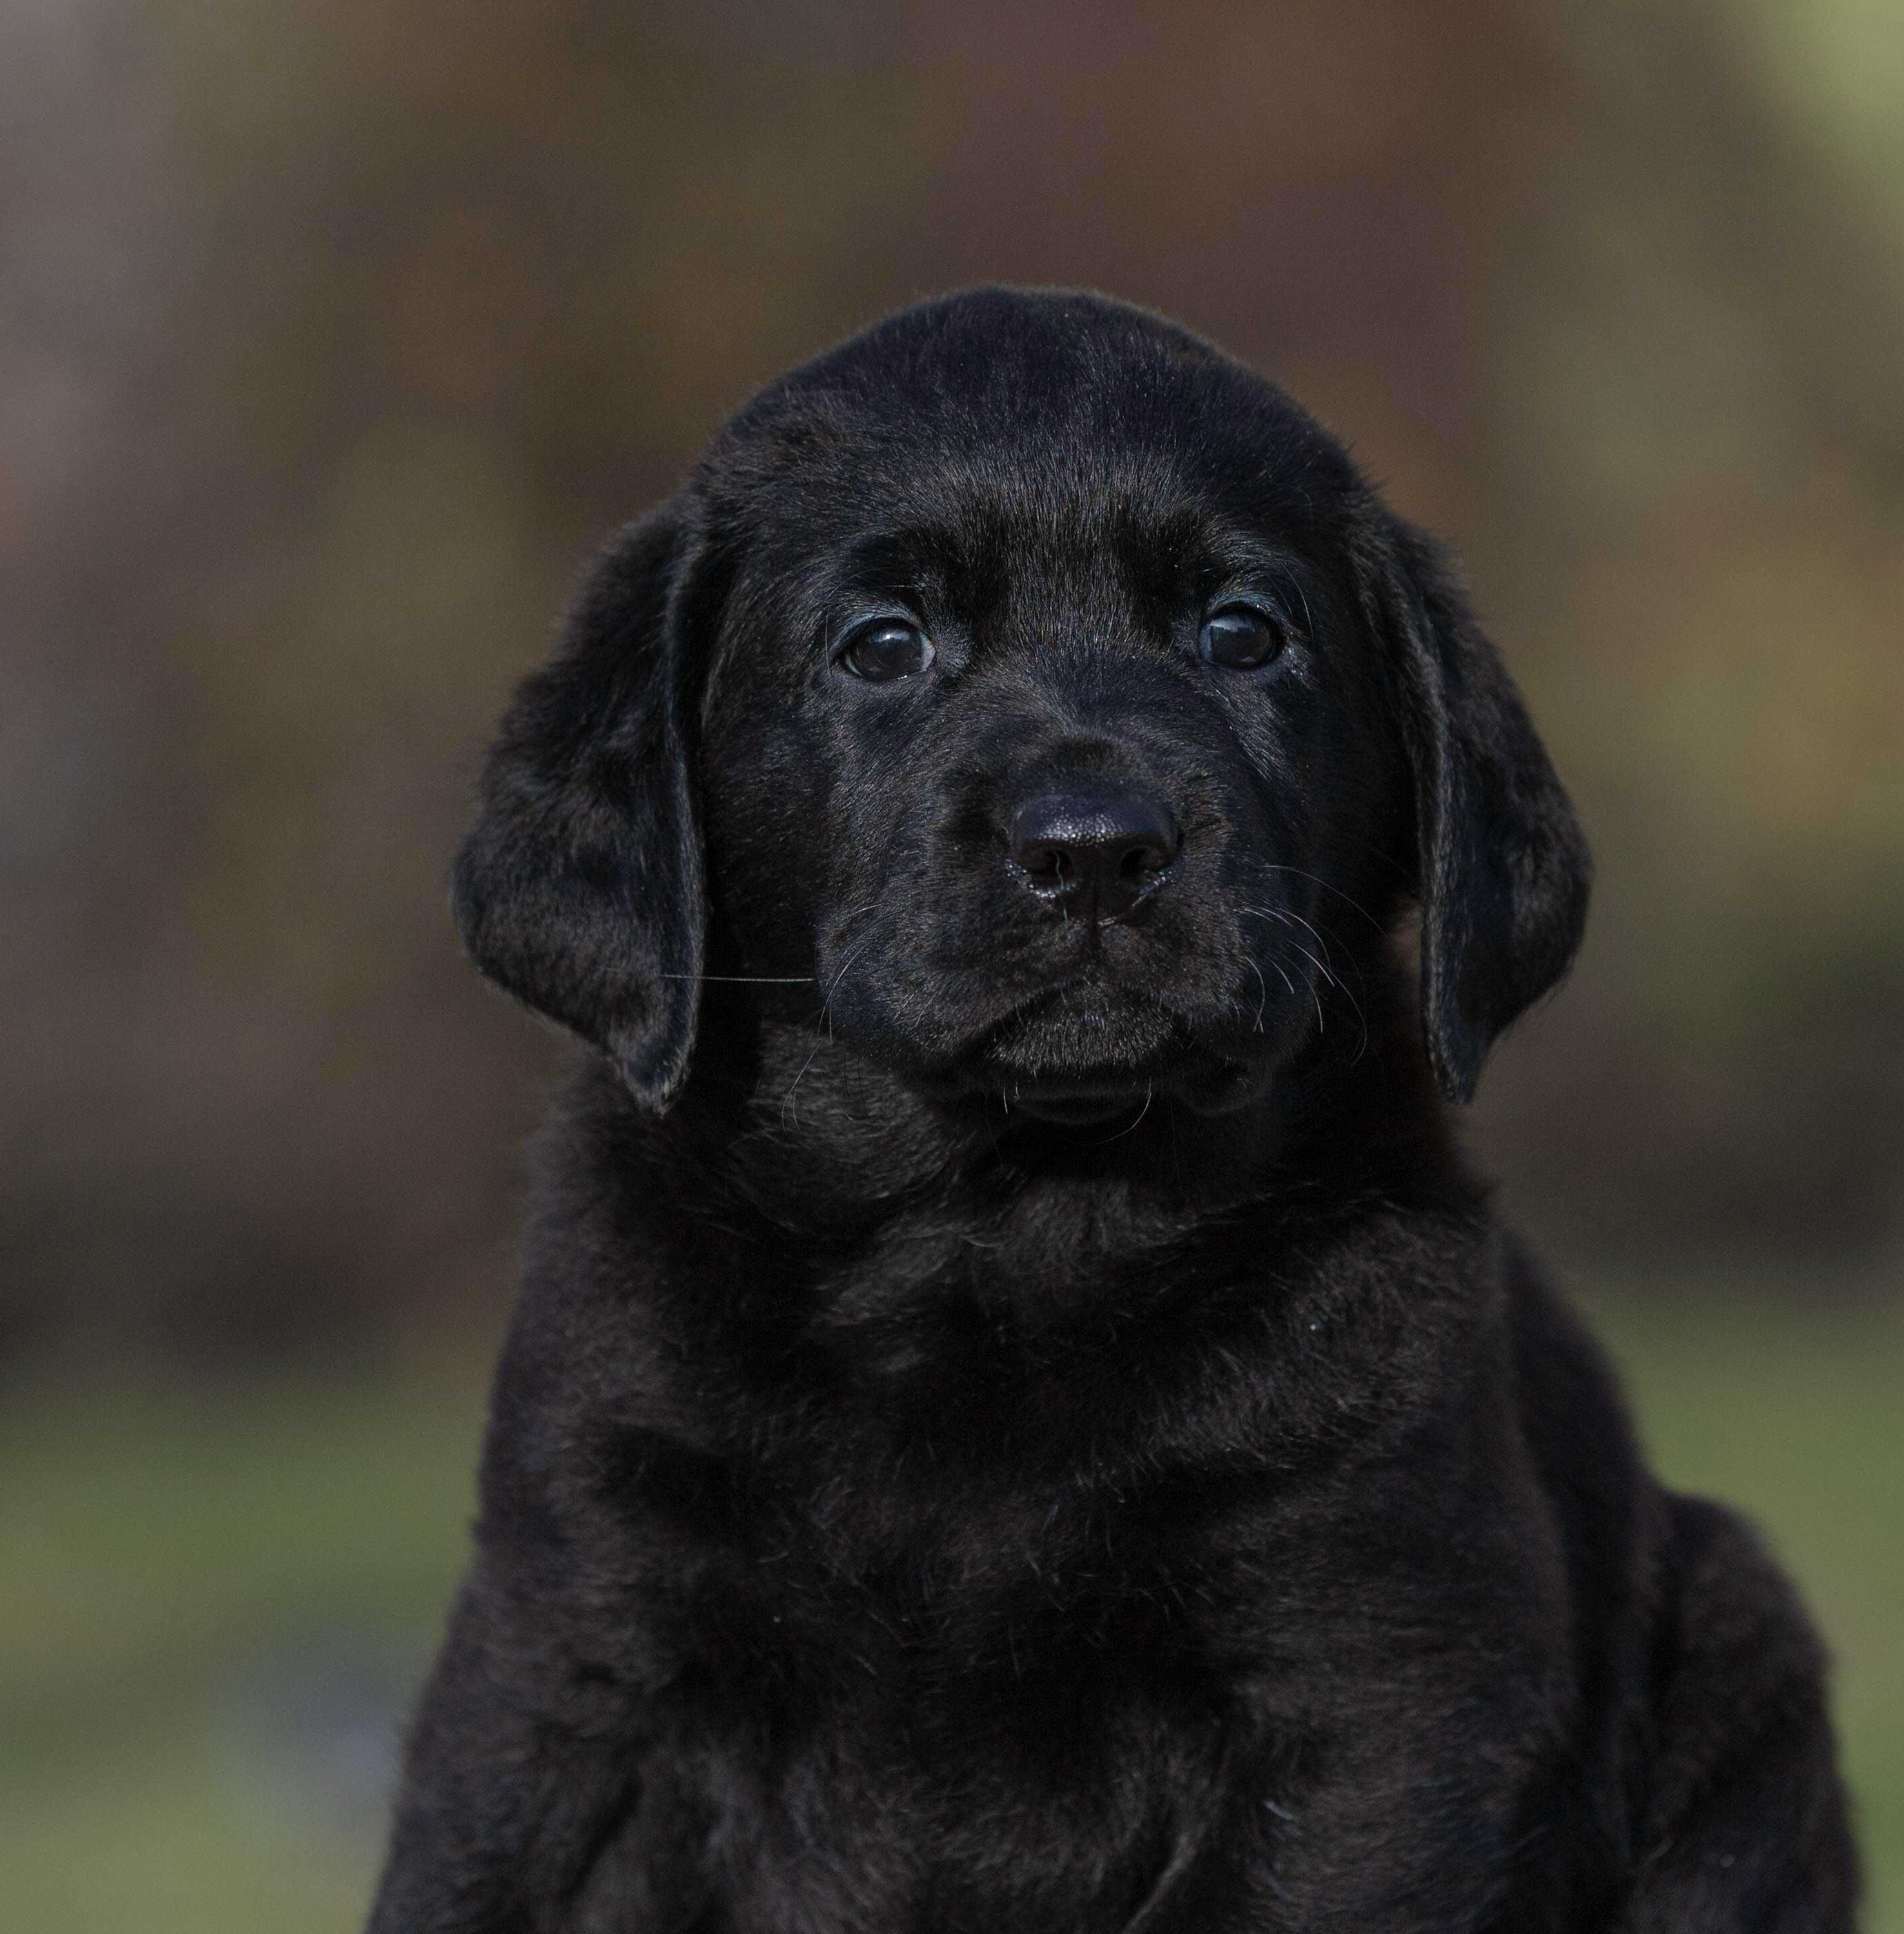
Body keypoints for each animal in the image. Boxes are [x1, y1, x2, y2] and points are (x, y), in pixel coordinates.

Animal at [371, 290, 1857, 1934]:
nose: (1093, 848)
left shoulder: (1366, 1688)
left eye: (1241, 634)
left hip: (1737, 1660)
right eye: (881, 646)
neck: (996, 1234)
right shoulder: (570, 1670)